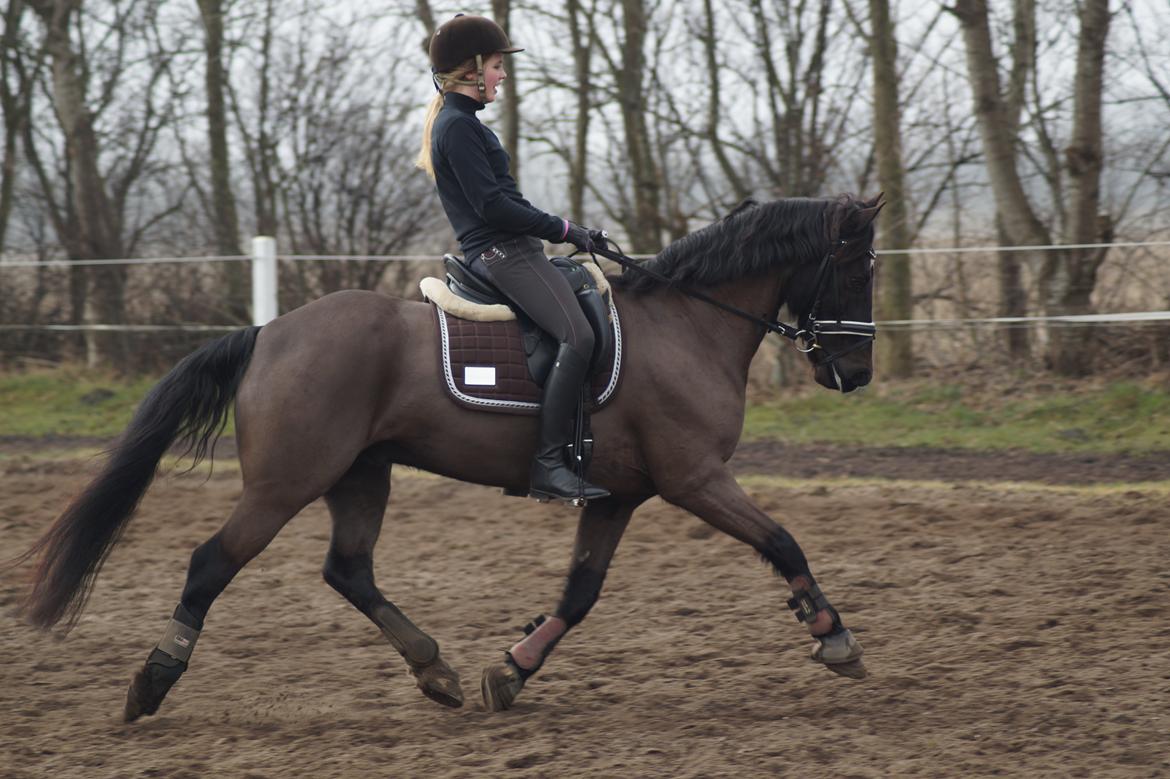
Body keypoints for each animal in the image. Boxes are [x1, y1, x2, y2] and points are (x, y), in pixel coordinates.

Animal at [16, 192, 879, 715]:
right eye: (857, 268)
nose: (856, 372)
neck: (687, 325)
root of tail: (268, 333)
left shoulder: (622, 496)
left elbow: (579, 593)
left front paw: (511, 668)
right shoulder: (695, 478)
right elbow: (782, 540)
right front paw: (833, 635)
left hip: (361, 474)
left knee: (348, 569)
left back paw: (436, 670)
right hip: (285, 482)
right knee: (211, 562)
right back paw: (153, 679)